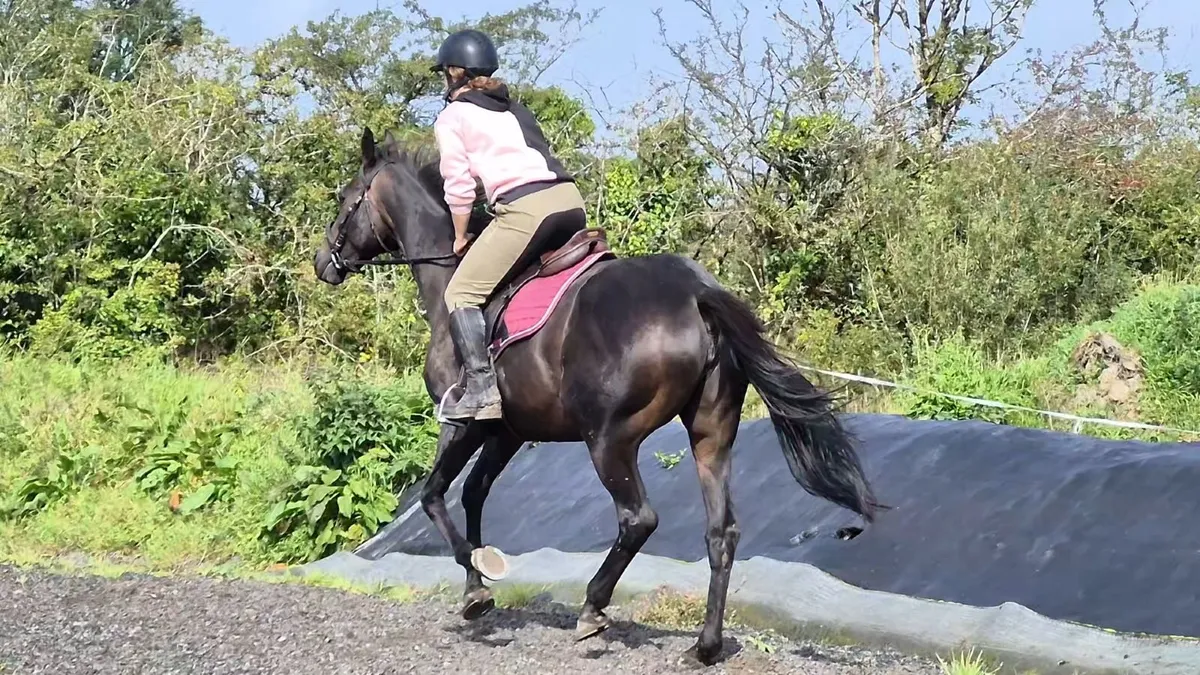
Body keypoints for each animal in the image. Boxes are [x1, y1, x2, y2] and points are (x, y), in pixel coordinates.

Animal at [313, 127, 885, 666]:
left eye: (345, 199)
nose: (323, 262)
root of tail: (696, 292)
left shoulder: (464, 423)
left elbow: (434, 496)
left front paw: (475, 588)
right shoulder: (507, 432)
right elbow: (474, 494)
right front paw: (482, 571)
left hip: (608, 438)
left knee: (639, 519)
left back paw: (593, 607)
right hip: (710, 432)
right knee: (720, 532)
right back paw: (704, 646)